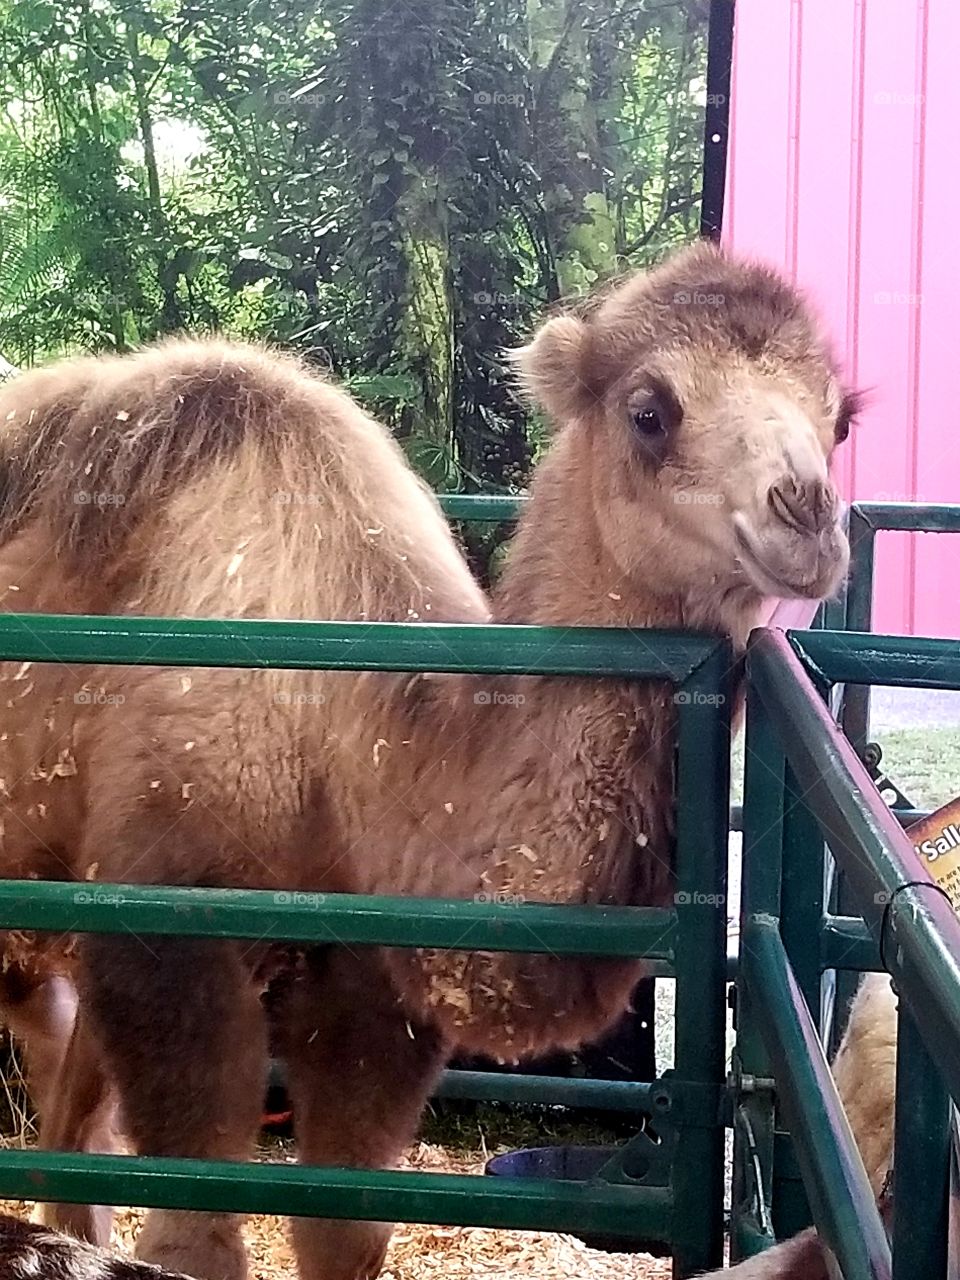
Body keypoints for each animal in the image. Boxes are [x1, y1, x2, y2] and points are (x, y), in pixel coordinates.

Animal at [0, 241, 856, 1280]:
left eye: (841, 417)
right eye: (650, 410)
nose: (807, 516)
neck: (348, 733)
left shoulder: (374, 989)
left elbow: (347, 1232)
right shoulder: (169, 940)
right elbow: (194, 1238)